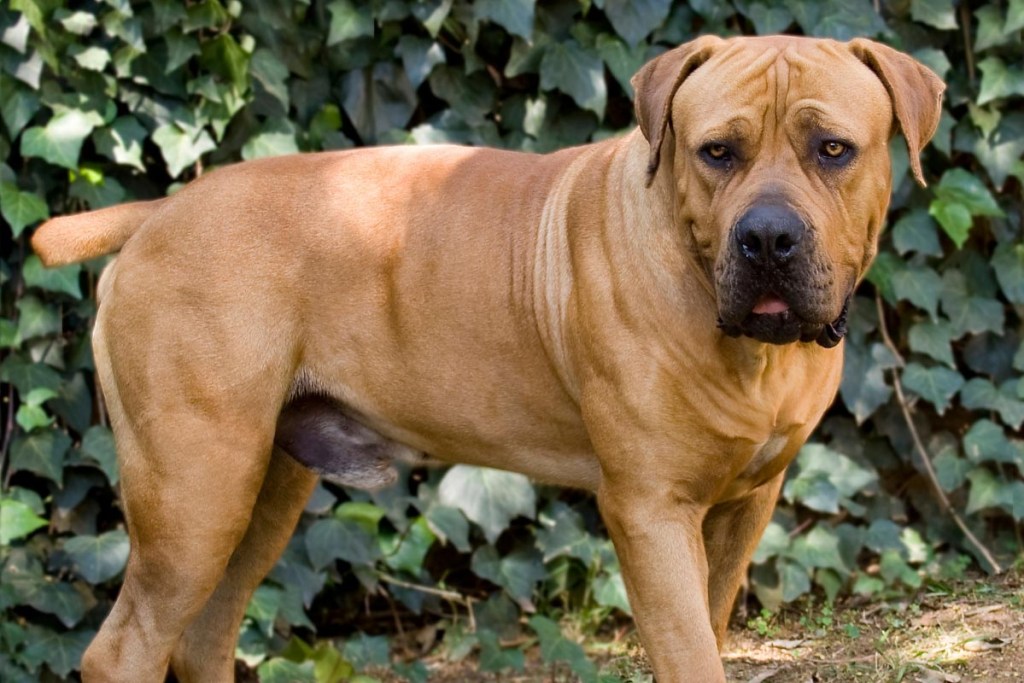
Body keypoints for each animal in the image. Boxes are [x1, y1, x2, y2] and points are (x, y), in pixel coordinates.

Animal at [32, 33, 942, 683]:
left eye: (833, 149)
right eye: (717, 151)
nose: (768, 237)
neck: (749, 351)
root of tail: (161, 211)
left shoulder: (744, 506)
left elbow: (711, 630)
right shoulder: (651, 511)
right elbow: (690, 655)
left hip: (262, 490)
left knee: (203, 637)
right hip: (193, 496)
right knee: (125, 649)